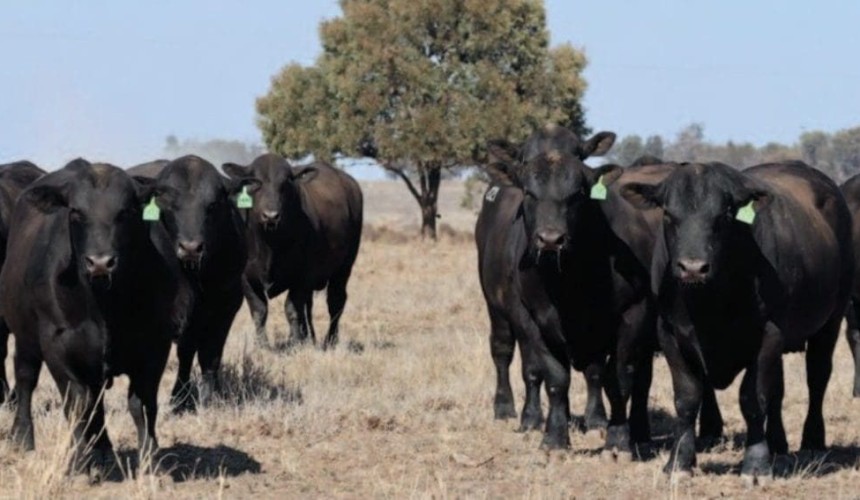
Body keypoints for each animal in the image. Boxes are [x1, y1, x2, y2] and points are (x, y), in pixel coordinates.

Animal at [0, 159, 191, 473]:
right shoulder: (58, 345)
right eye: (76, 211)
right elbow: (77, 405)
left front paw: (151, 459)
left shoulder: (155, 345)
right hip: (26, 337)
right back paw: (23, 436)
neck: (106, 306)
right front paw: (79, 462)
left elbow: (142, 404)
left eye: (125, 211)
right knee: (26, 379)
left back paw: (102, 449)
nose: (100, 262)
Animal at [143, 155, 258, 411]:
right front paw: (180, 399)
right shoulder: (178, 312)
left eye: (213, 205)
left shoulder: (227, 306)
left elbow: (211, 354)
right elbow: (185, 352)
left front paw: (209, 397)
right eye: (168, 204)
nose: (190, 248)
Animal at [222, 154, 363, 350]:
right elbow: (259, 311)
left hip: (344, 268)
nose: (271, 215)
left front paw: (295, 343)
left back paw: (330, 340)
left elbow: (292, 309)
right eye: (255, 182)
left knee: (336, 302)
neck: (269, 244)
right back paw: (309, 338)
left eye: (285, 183)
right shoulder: (246, 278)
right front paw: (262, 345)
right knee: (308, 306)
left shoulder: (301, 276)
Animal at [474, 124, 725, 459]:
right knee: (502, 350)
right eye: (529, 192)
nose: (550, 238)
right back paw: (506, 409)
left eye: (578, 193)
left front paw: (615, 437)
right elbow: (552, 376)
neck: (567, 280)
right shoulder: (530, 318)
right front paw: (554, 436)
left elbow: (617, 379)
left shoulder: (632, 315)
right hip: (496, 308)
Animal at [619, 161, 853, 484]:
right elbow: (687, 398)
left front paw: (755, 465)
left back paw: (811, 443)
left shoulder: (768, 333)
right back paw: (778, 446)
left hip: (831, 319)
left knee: (817, 378)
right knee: (778, 391)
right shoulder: (669, 334)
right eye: (667, 213)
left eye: (725, 215)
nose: (693, 267)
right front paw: (679, 462)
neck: (709, 303)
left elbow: (753, 399)